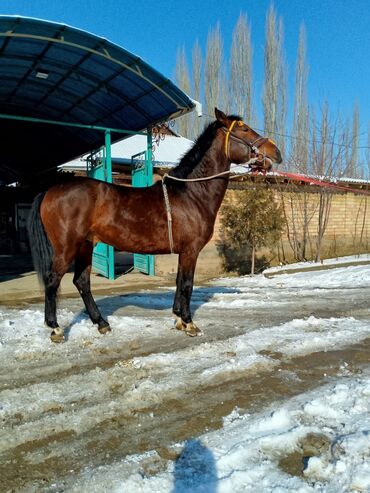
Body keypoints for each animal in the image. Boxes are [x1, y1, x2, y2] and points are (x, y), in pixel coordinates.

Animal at [27, 106, 282, 342]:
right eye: (244, 129)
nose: (276, 152)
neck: (191, 193)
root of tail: (50, 191)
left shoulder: (183, 252)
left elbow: (179, 282)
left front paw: (178, 318)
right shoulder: (191, 250)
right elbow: (187, 284)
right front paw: (189, 323)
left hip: (85, 246)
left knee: (81, 281)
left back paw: (102, 323)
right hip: (66, 248)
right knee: (53, 281)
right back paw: (56, 328)